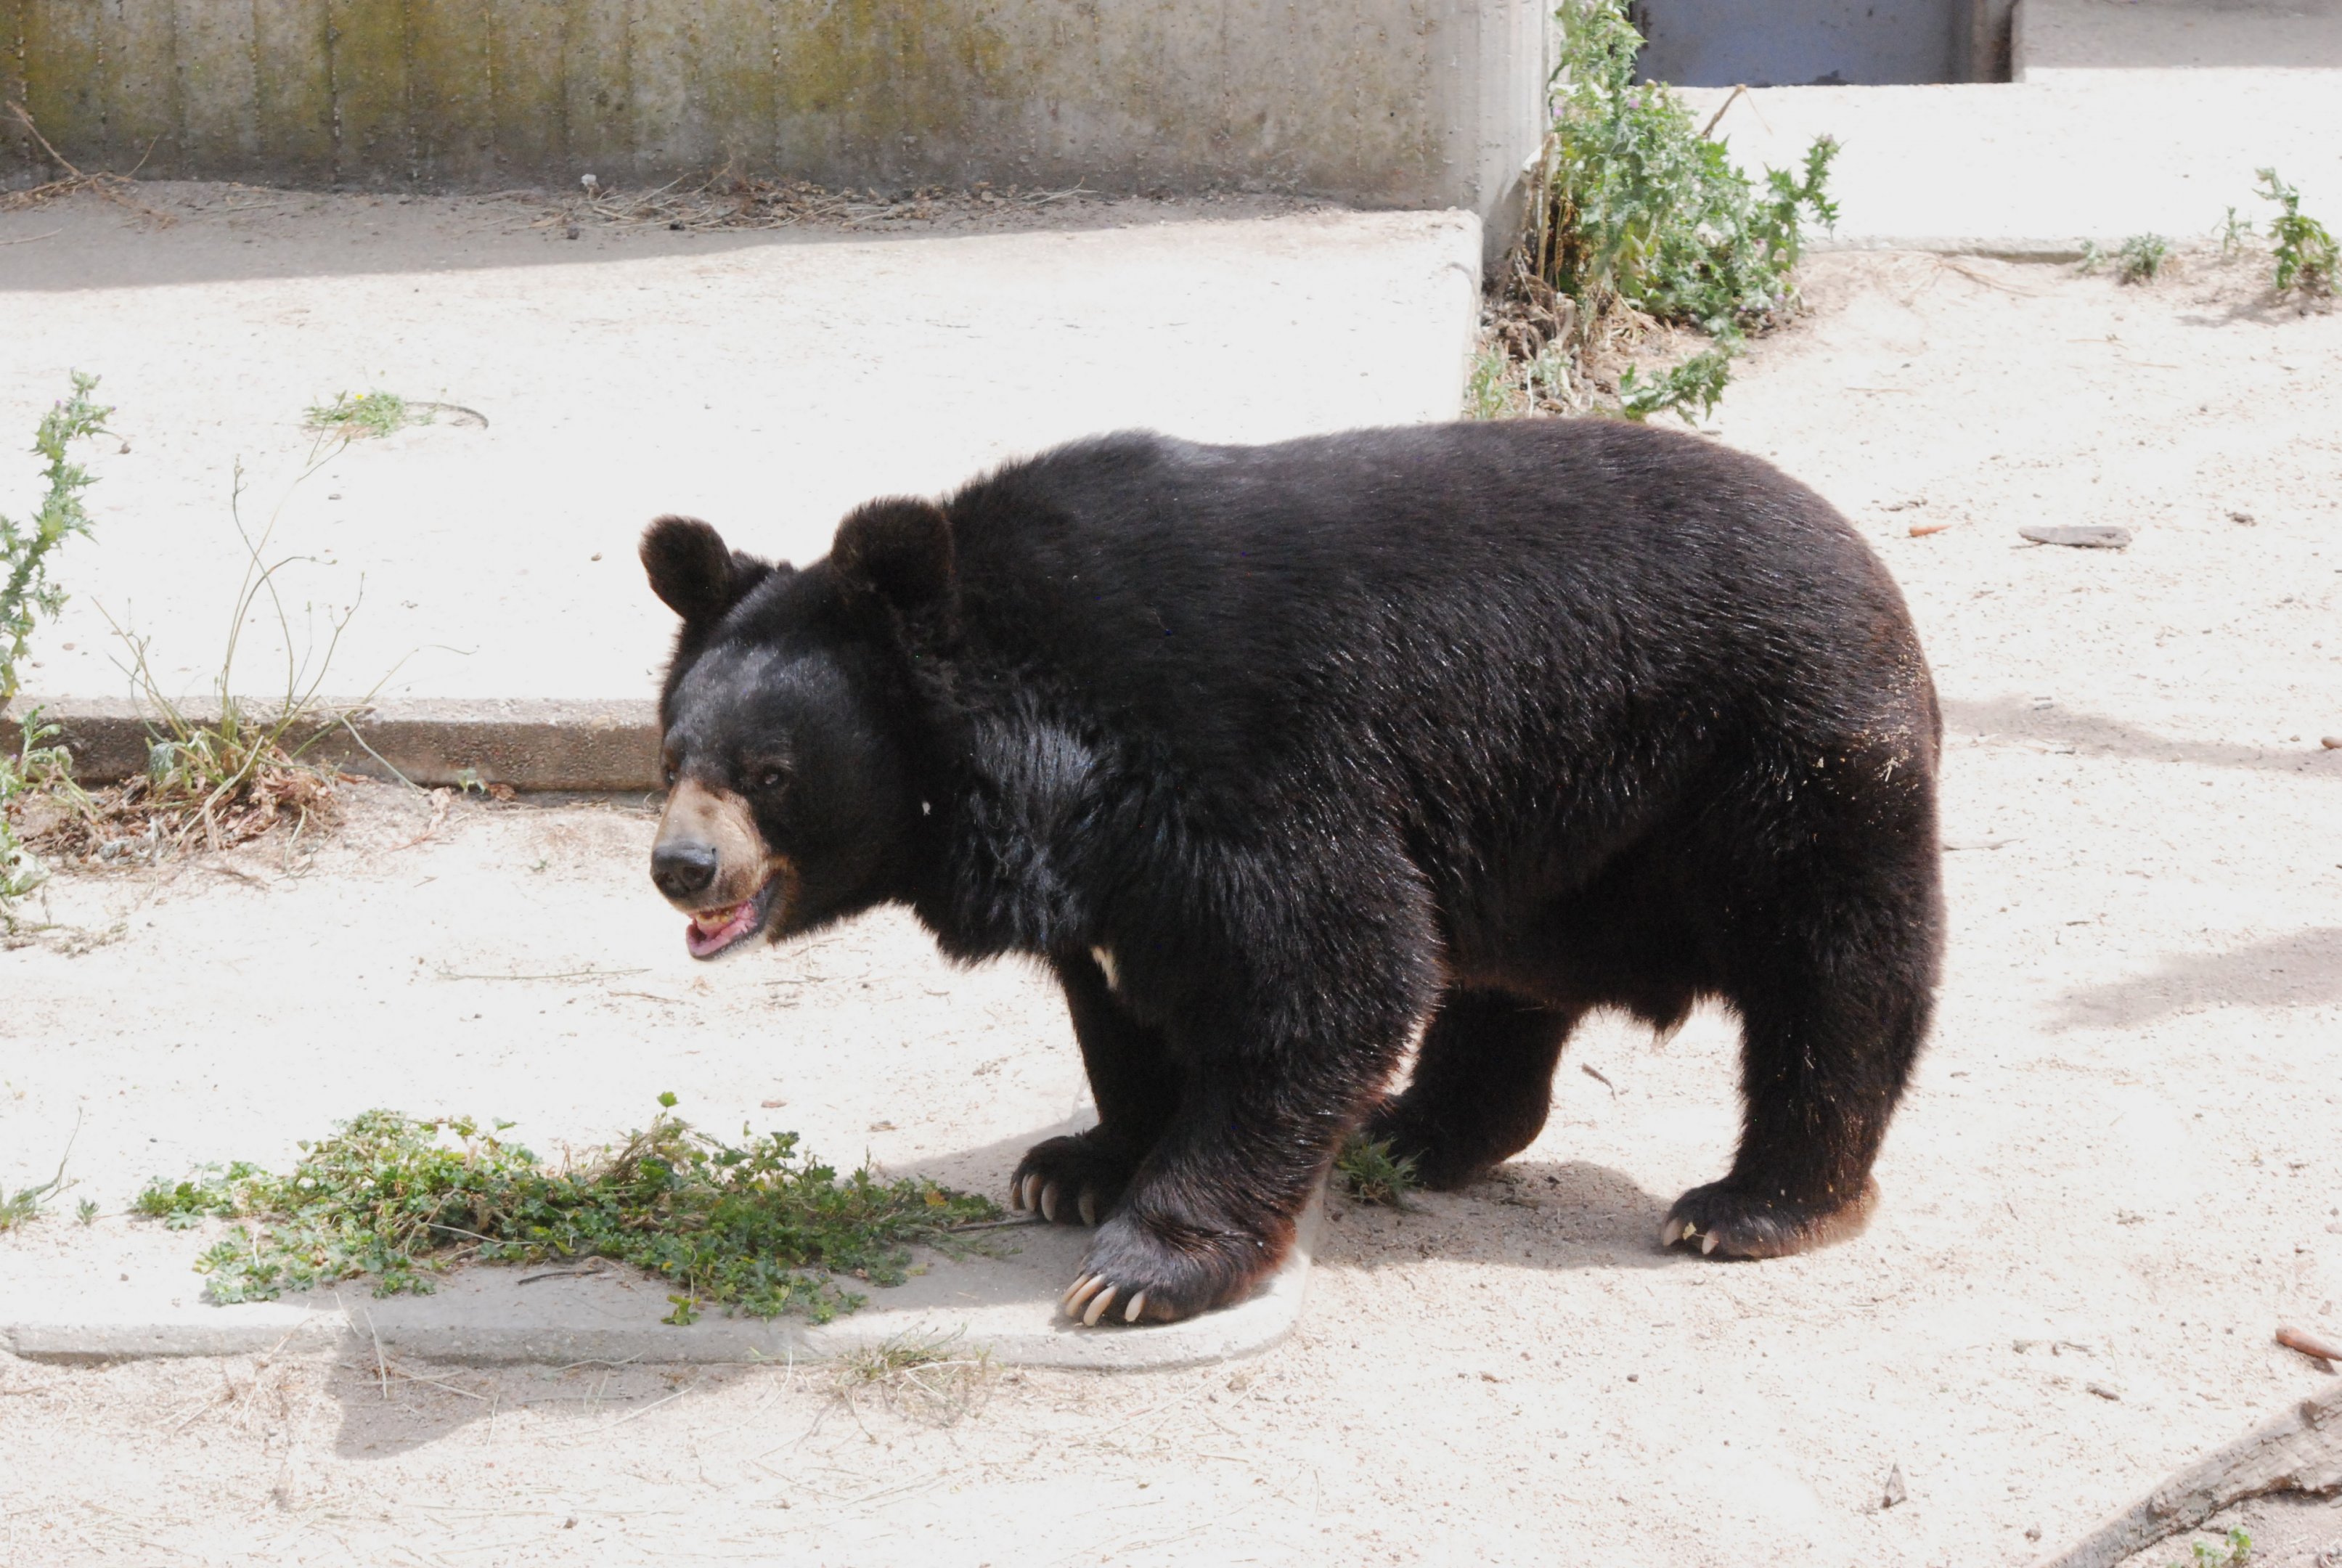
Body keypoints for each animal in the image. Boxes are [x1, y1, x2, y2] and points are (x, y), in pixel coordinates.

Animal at [640, 418, 1943, 1327]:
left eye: (768, 774)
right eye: (672, 754)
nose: (679, 868)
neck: (1034, 753)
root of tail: (1875, 571)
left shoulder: (1239, 764)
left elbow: (1322, 971)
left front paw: (1137, 1270)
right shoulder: (1110, 874)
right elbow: (1124, 1013)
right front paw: (1073, 1169)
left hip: (1782, 767)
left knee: (1835, 980)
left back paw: (1752, 1206)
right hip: (1561, 834)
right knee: (1505, 981)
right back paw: (1417, 1131)